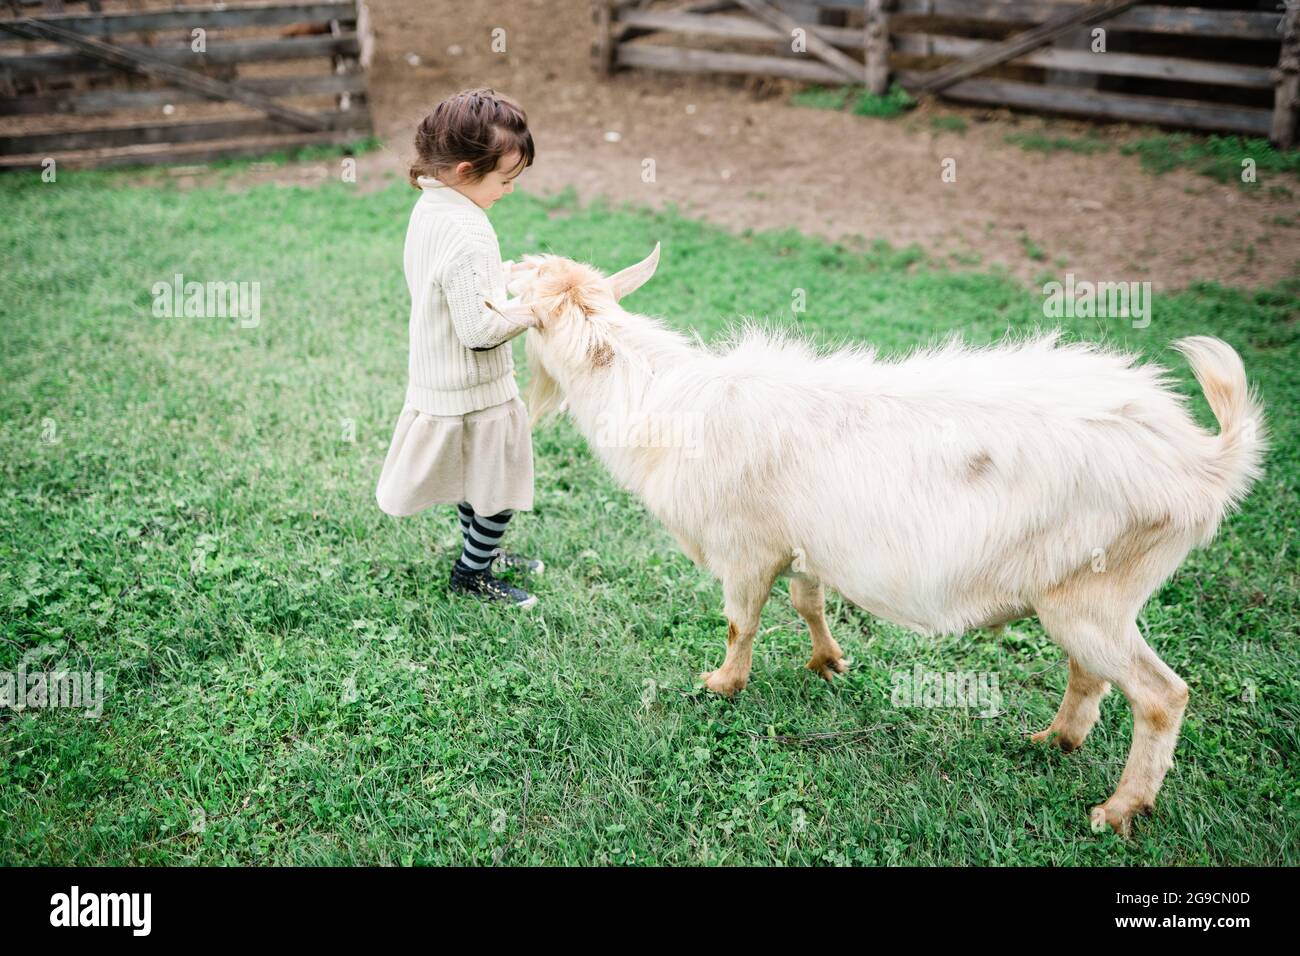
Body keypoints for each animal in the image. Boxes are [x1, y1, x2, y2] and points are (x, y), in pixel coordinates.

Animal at [493, 244, 1266, 835]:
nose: (510, 262)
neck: (660, 398)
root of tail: (1202, 461)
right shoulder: (800, 544)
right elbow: (807, 602)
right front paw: (827, 662)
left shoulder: (745, 547)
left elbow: (741, 622)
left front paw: (721, 686)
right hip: (1082, 592)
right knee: (1093, 672)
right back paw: (1056, 740)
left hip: (1096, 593)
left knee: (1161, 695)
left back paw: (1119, 808)